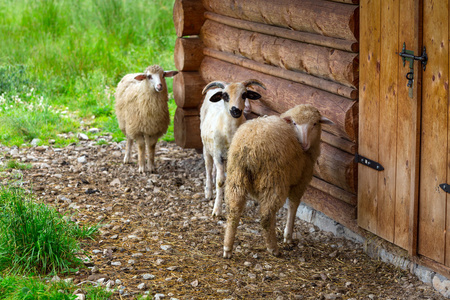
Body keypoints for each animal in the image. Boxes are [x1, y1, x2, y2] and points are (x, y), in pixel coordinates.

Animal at [200, 78, 266, 217]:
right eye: (225, 96)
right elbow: (220, 181)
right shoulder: (218, 155)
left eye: (244, 95)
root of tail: (215, 90)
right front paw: (217, 210)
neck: (229, 133)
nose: (236, 110)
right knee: (208, 167)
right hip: (206, 147)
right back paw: (208, 192)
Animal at [222, 103, 332, 258]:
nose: (304, 144)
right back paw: (273, 248)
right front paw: (288, 237)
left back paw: (227, 248)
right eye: (294, 123)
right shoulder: (300, 181)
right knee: (266, 216)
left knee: (234, 210)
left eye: (315, 124)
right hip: (273, 179)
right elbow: (293, 206)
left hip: (236, 176)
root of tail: (250, 146)